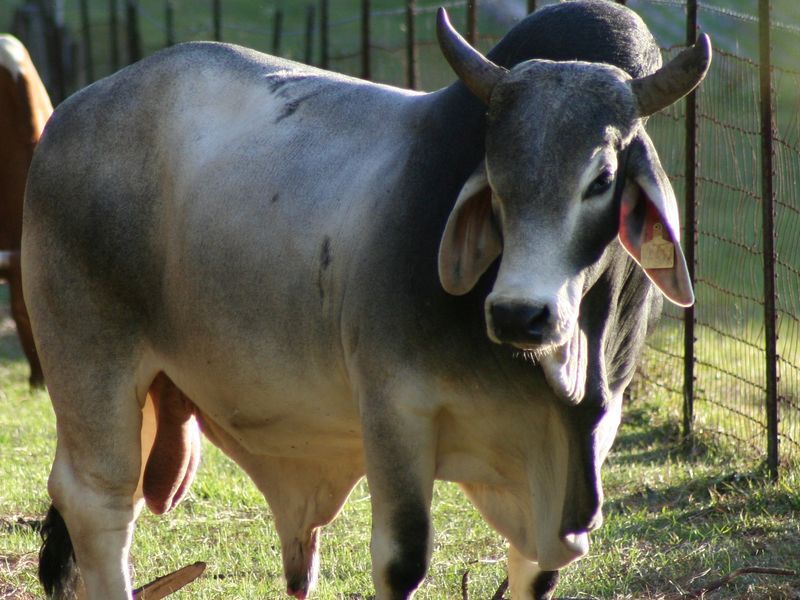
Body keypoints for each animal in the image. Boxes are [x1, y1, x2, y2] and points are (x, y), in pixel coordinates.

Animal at [26, 1, 708, 600]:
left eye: (601, 180)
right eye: (495, 176)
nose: (519, 313)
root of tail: (74, 111)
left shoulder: (578, 454)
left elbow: (536, 570)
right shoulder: (395, 409)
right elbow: (403, 562)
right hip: (91, 359)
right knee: (98, 502)